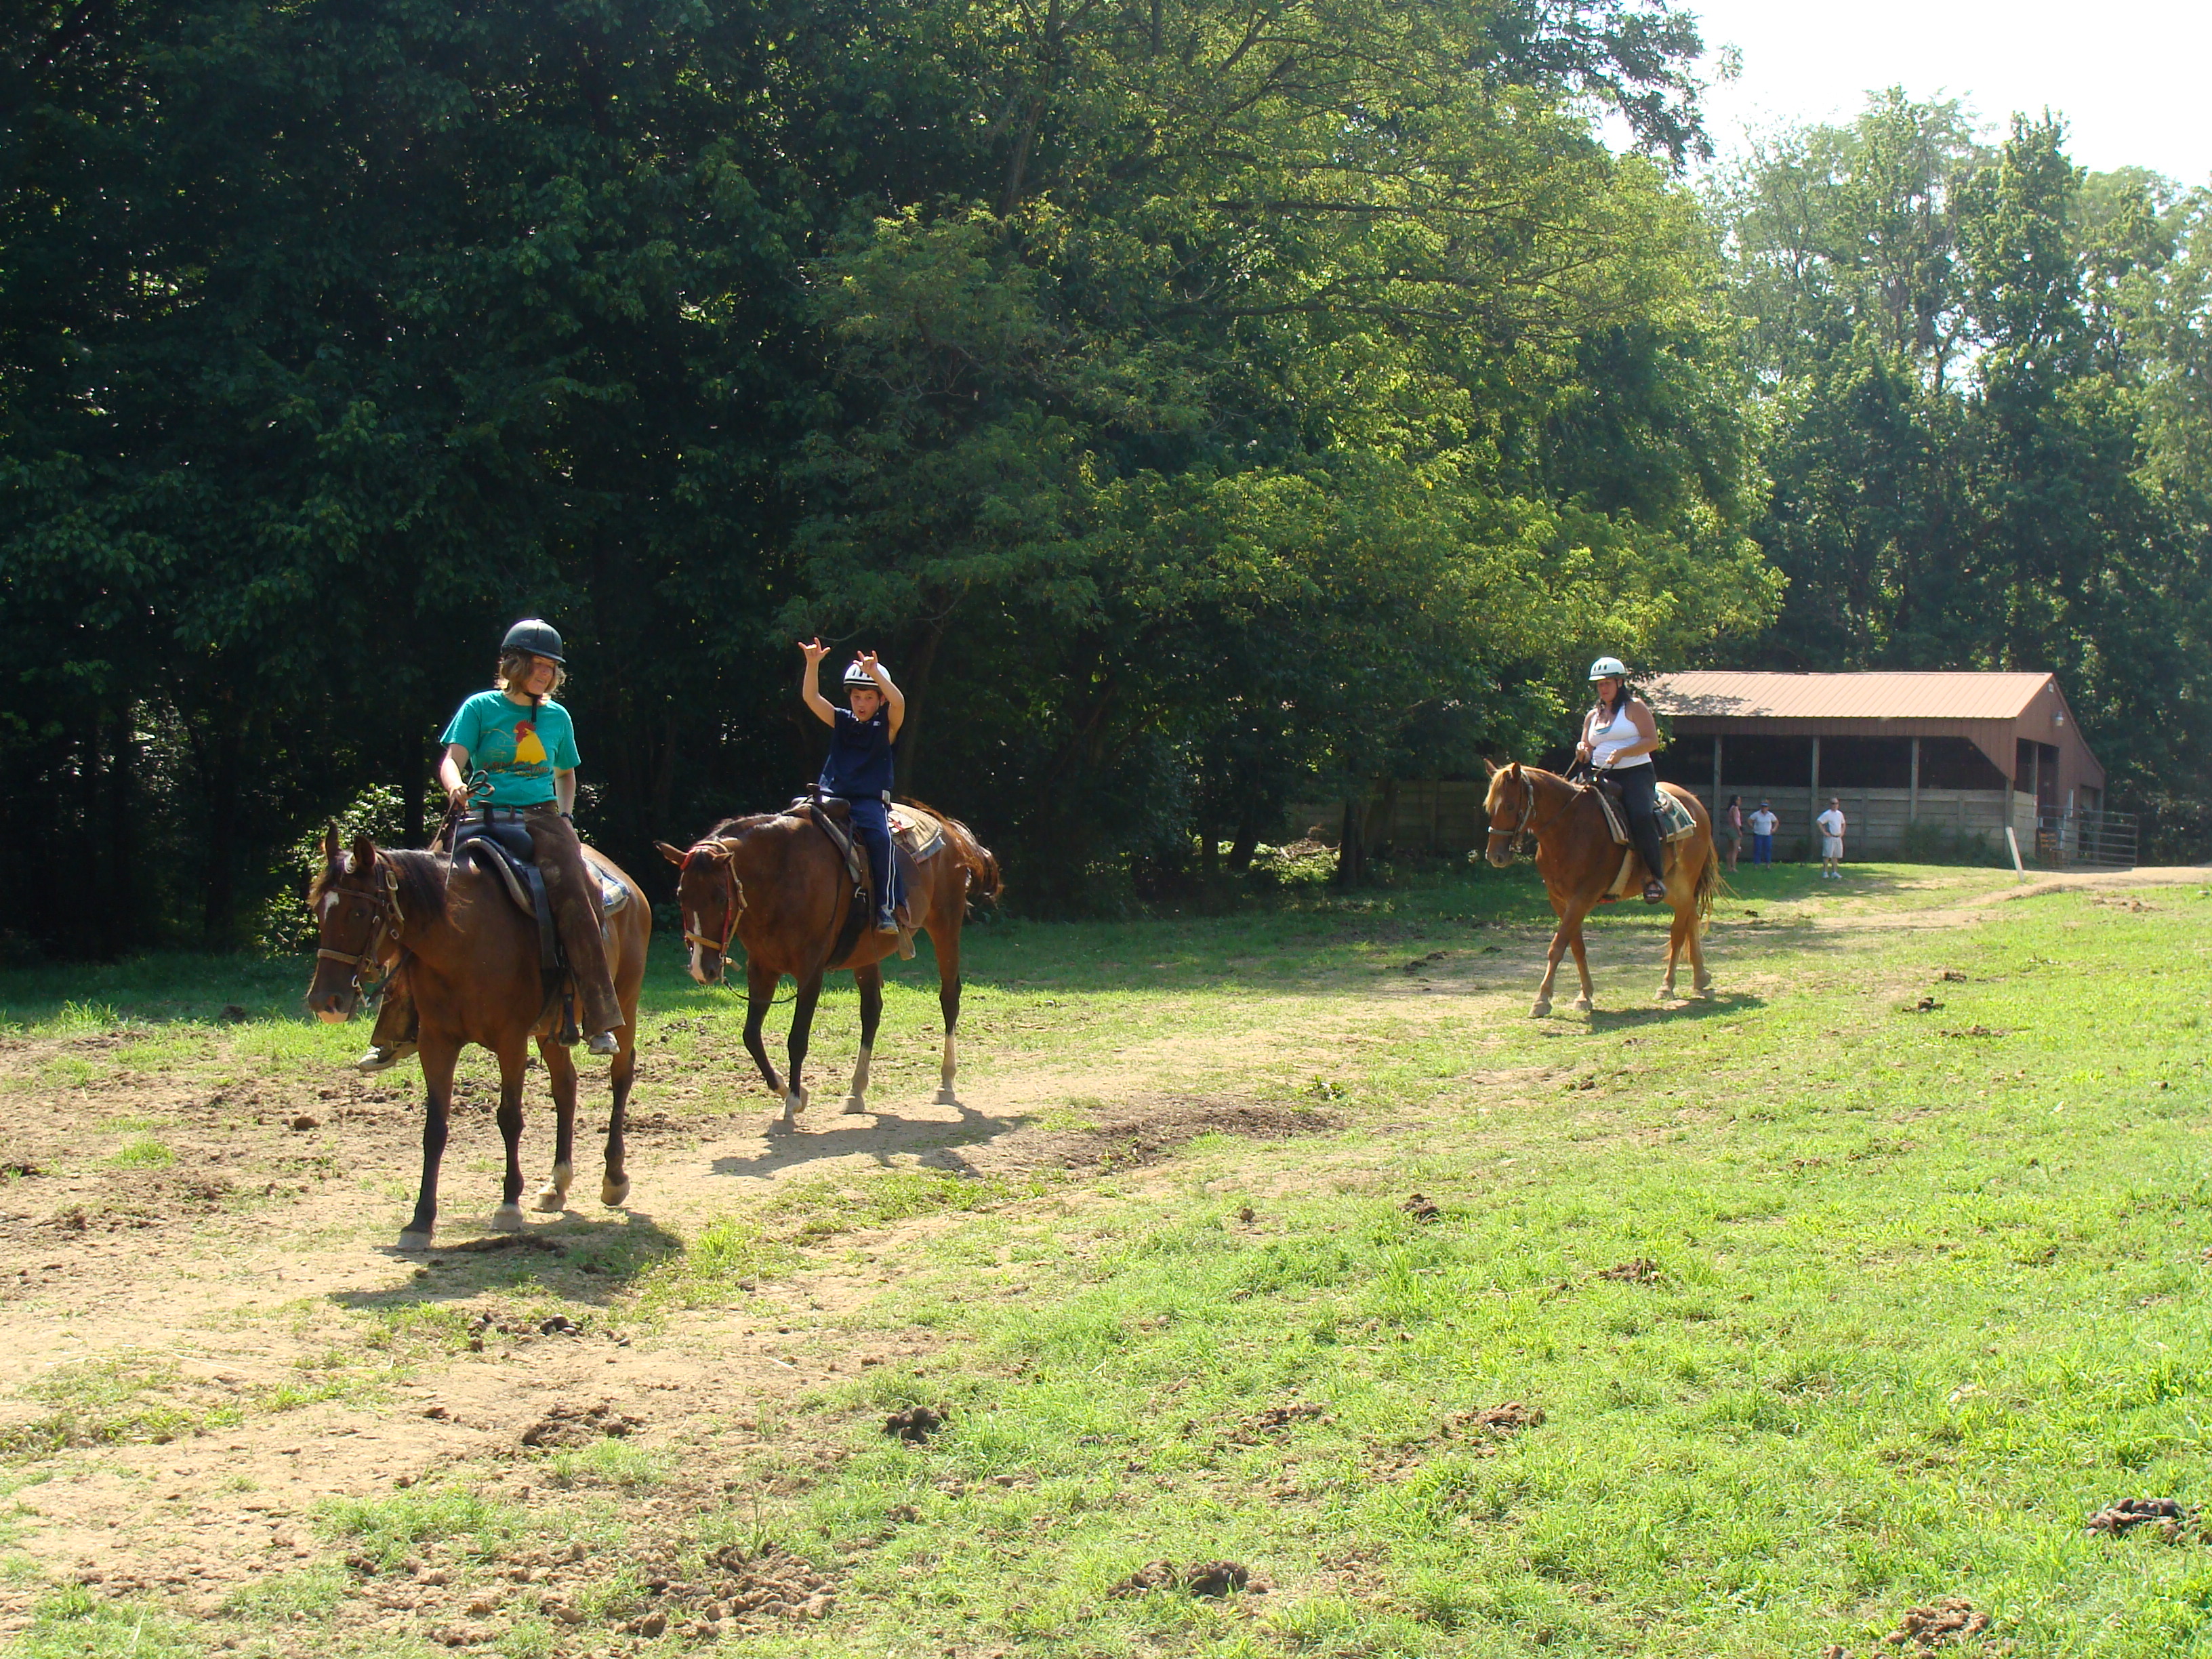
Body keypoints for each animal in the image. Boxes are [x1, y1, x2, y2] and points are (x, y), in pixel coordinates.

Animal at [304, 827, 651, 1249]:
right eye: (318, 911)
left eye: (358, 912)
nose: (324, 1002)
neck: (464, 940)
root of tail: (630, 886)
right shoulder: (436, 1043)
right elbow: (435, 1129)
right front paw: (420, 1221)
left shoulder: (511, 1041)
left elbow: (510, 1118)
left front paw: (508, 1205)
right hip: (552, 1030)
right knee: (566, 1088)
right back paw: (556, 1185)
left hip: (625, 1003)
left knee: (620, 1078)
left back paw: (614, 1179)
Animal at [655, 801, 1001, 1125]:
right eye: (681, 895)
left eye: (720, 897)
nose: (703, 969)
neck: (782, 874)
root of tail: (950, 830)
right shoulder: (762, 968)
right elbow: (751, 1035)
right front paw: (787, 1089)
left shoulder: (810, 972)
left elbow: (797, 1038)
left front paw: (793, 1101)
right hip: (867, 953)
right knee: (871, 1011)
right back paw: (856, 1092)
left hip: (945, 926)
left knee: (949, 998)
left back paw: (946, 1083)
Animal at [1481, 762, 1719, 1016]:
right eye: (1490, 807)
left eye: (1510, 805)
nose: (1495, 856)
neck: (1570, 827)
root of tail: (1695, 804)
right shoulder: (1561, 900)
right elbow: (1576, 946)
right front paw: (1584, 996)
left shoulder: (1582, 898)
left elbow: (1558, 946)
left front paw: (1542, 1000)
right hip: (1676, 890)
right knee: (1691, 917)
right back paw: (1701, 979)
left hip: (1681, 884)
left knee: (1678, 931)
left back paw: (1667, 986)